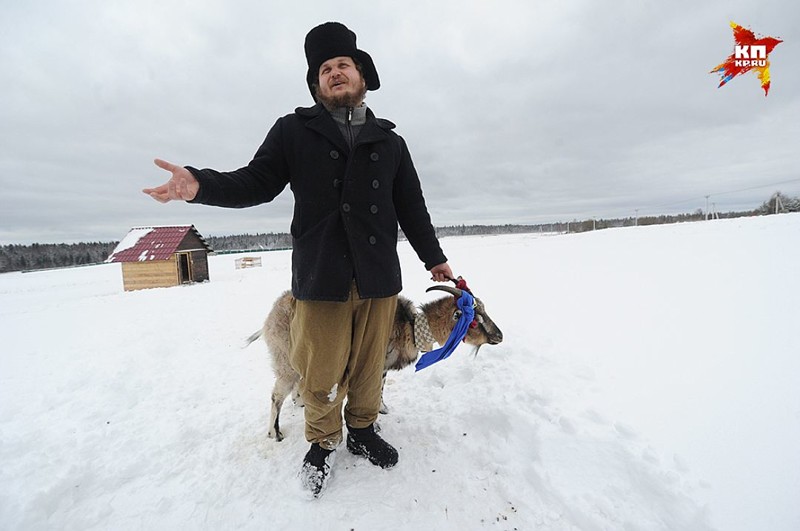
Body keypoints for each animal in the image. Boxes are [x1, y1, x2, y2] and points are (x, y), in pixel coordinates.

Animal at [244, 286, 504, 440]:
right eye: (474, 320)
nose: (499, 336)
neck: (410, 326)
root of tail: (267, 321)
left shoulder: (382, 368)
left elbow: (379, 391)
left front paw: (383, 409)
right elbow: (369, 393)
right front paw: (374, 424)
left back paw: (300, 404)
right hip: (285, 359)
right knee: (277, 395)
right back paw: (274, 433)